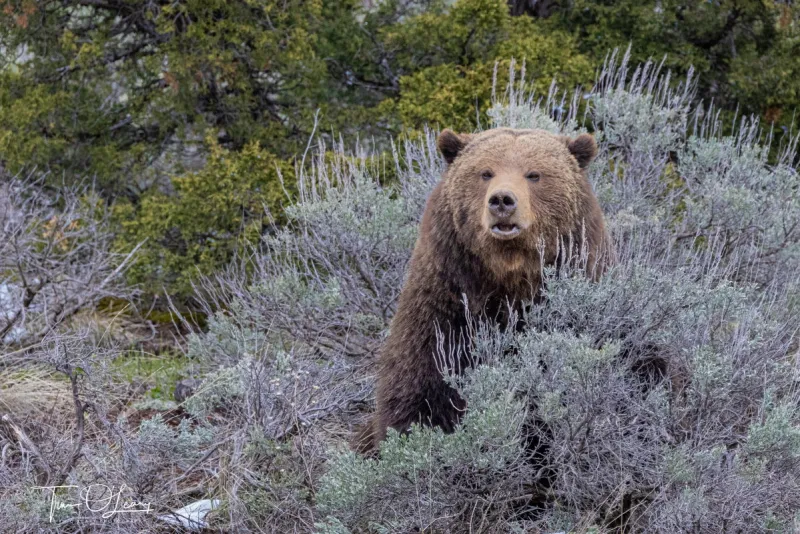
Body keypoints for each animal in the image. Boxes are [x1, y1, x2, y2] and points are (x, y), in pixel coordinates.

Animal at [354, 127, 613, 454]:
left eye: (534, 174)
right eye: (485, 172)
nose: (502, 200)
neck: (508, 279)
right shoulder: (445, 306)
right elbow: (419, 385)